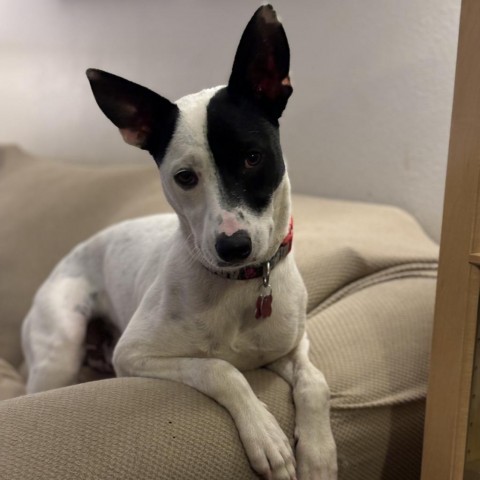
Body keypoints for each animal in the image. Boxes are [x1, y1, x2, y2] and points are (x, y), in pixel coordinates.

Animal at [21, 4, 338, 480]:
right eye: (185, 177)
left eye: (253, 157)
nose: (233, 247)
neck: (239, 286)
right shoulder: (135, 356)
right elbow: (222, 369)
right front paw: (266, 436)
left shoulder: (289, 347)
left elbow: (315, 381)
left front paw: (318, 454)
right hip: (58, 353)